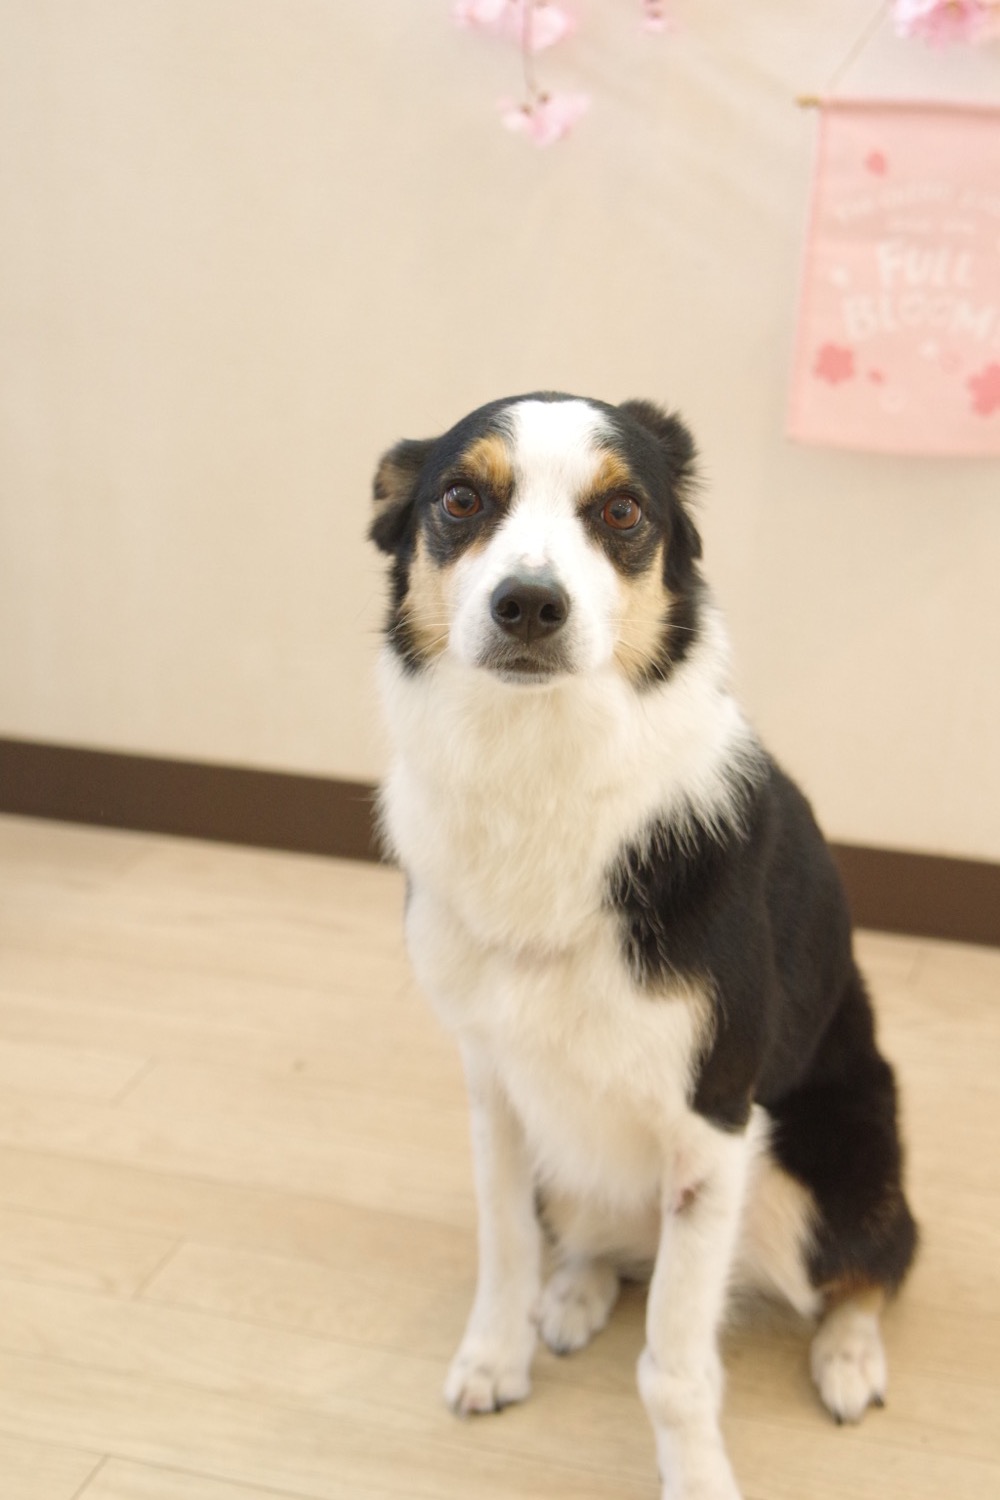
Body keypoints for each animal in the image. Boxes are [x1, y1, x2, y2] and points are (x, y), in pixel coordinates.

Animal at [369, 393, 917, 1500]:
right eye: (460, 499)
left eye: (622, 513)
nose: (529, 605)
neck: (541, 768)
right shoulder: (492, 1084)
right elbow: (504, 1246)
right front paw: (494, 1355)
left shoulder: (712, 1119)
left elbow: (673, 1364)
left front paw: (698, 1479)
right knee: (601, 1239)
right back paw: (576, 1293)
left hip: (829, 1169)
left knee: (877, 1263)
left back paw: (847, 1356)